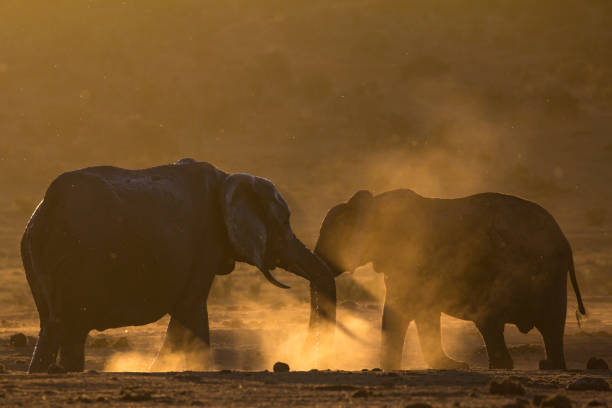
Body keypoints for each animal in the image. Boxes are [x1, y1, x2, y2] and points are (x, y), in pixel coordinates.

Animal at [20, 159, 334, 372]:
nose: (306, 355)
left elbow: (184, 312)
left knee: (55, 327)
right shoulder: (205, 241)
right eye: (284, 222)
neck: (228, 179)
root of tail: (47, 209)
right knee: (68, 327)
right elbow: (190, 308)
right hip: (77, 262)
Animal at [314, 188, 584, 370]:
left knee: (491, 319)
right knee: (551, 325)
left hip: (526, 269)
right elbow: (423, 313)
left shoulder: (410, 259)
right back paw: (547, 365)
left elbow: (402, 310)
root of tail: (564, 241)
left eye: (331, 238)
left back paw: (505, 366)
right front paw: (449, 365)